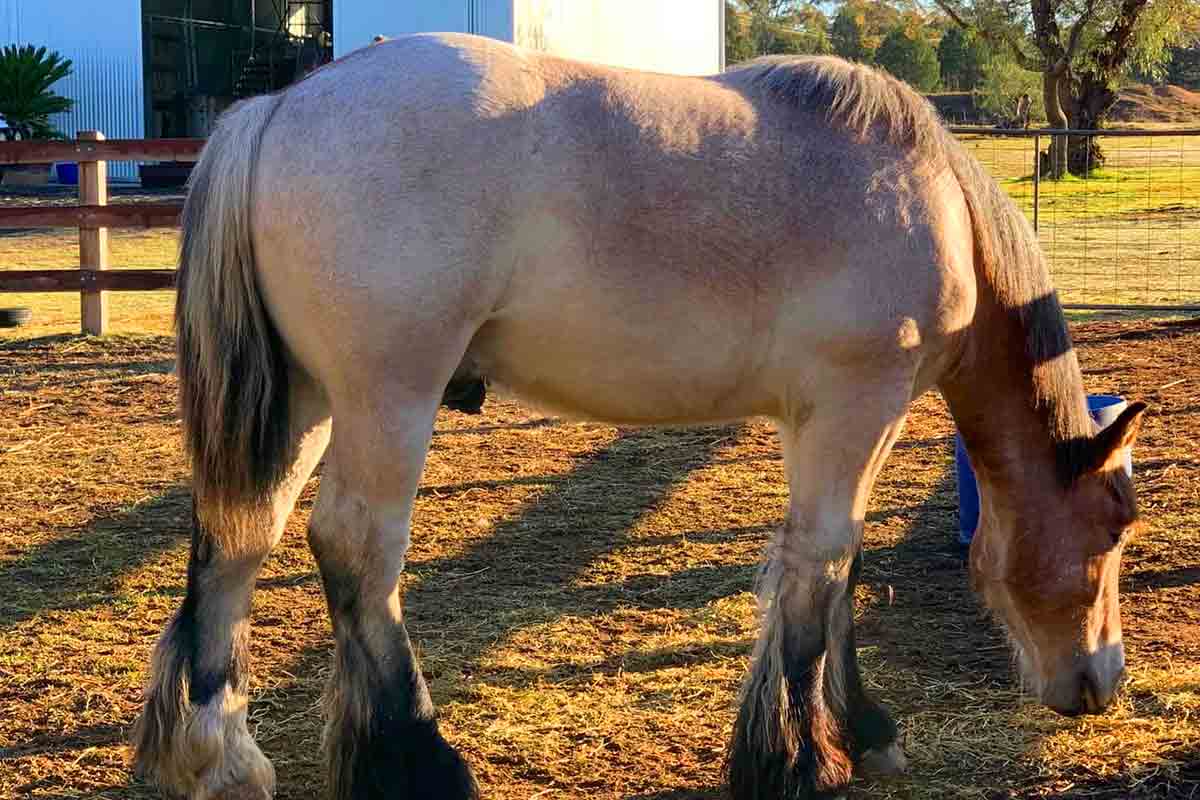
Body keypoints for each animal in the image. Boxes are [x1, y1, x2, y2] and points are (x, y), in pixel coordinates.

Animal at [131, 33, 1146, 800]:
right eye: (1111, 528)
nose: (1101, 683)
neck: (934, 205)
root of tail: (279, 108)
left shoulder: (824, 420)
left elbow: (832, 571)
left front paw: (855, 730)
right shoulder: (858, 406)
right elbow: (822, 565)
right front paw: (800, 759)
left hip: (308, 402)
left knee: (237, 541)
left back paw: (217, 760)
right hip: (389, 398)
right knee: (355, 549)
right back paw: (420, 760)